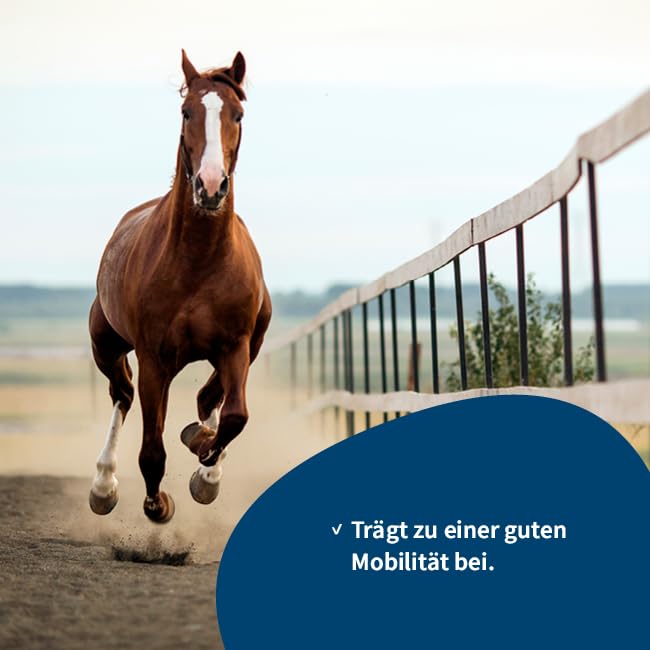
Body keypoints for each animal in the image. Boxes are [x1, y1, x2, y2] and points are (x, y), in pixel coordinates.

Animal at [88, 50, 271, 523]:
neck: (198, 262)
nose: (210, 186)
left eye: (238, 114)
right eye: (187, 111)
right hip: (107, 345)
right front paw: (157, 505)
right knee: (122, 395)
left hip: (252, 343)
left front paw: (204, 465)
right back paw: (103, 486)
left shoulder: (236, 346)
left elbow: (235, 416)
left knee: (211, 398)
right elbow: (152, 450)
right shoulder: (154, 358)